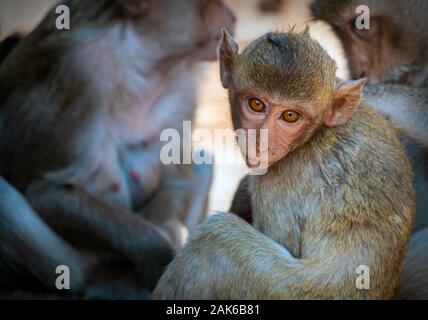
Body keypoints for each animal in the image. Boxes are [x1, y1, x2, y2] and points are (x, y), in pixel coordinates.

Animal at [0, 0, 234, 298]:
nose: (232, 14)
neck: (139, 63)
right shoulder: (80, 70)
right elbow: (48, 191)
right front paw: (159, 253)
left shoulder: (183, 82)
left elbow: (177, 173)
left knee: (202, 165)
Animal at [155, 28, 418, 298]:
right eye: (256, 104)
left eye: (290, 116)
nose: (261, 142)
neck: (313, 136)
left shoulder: (280, 184)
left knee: (213, 239)